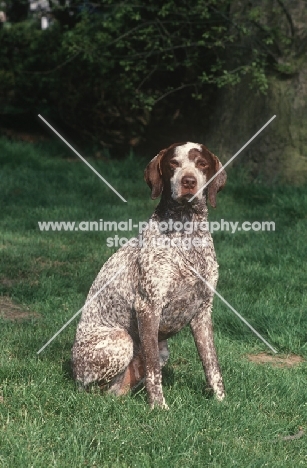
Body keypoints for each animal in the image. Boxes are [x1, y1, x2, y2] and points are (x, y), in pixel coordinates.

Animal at [71, 143, 226, 410]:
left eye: (202, 164)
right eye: (173, 163)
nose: (189, 181)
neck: (187, 233)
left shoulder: (203, 311)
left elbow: (211, 364)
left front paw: (221, 400)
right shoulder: (148, 307)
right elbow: (154, 371)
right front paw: (159, 407)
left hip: (160, 351)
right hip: (121, 341)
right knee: (89, 389)